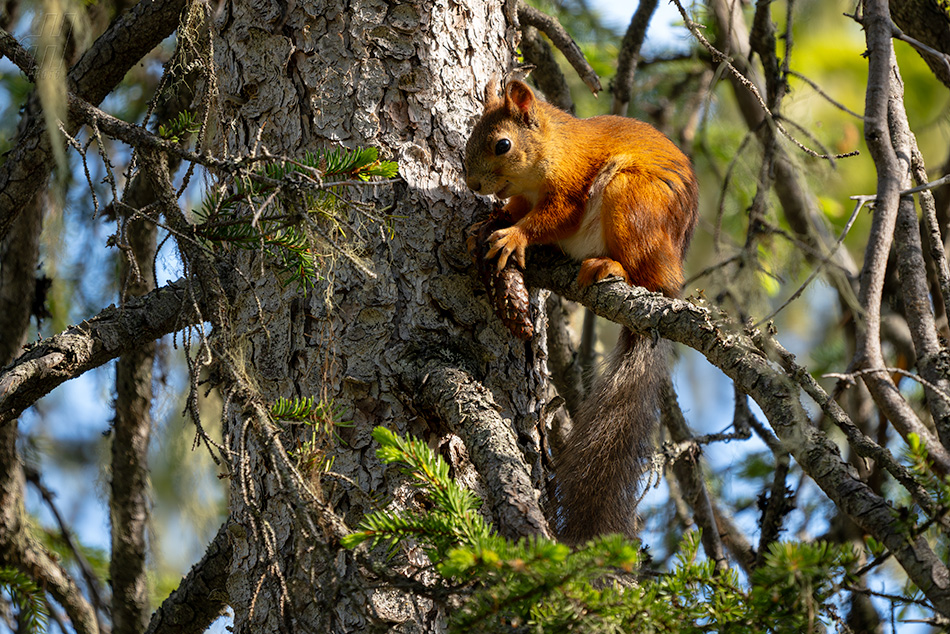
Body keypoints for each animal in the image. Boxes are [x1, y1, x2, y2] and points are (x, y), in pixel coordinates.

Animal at [466, 78, 700, 544]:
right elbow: (515, 209)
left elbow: (551, 218)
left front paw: (514, 236)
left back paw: (610, 267)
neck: (551, 148)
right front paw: (490, 221)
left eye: (503, 144)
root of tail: (672, 276)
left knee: (642, 277)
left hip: (631, 201)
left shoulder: (571, 187)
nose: (471, 182)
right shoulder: (523, 196)